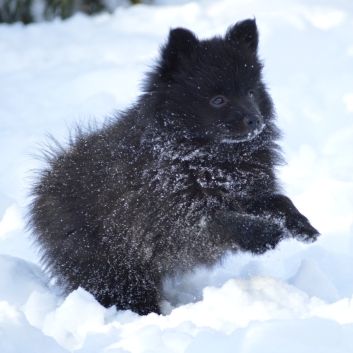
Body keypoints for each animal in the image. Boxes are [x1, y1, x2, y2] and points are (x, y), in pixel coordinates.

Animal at [27, 19, 320, 314]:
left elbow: (278, 200)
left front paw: (300, 224)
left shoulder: (246, 193)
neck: (210, 158)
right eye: (218, 99)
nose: (254, 119)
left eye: (250, 92)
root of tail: (45, 185)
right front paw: (264, 233)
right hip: (115, 269)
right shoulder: (169, 215)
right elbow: (217, 220)